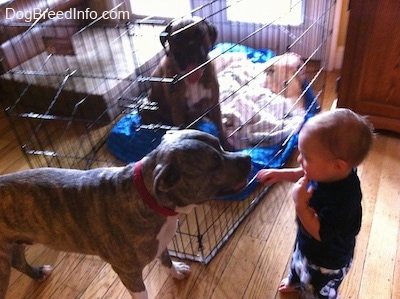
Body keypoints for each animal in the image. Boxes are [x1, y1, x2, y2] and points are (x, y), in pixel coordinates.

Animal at [0, 131, 250, 299]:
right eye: (214, 164)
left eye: (220, 145)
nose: (247, 157)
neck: (151, 198)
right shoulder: (128, 273)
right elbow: (142, 293)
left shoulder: (161, 244)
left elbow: (166, 259)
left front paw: (176, 271)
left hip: (16, 243)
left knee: (18, 261)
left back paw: (37, 273)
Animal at [144, 16, 225, 146]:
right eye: (177, 39)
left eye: (201, 35)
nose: (190, 47)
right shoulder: (177, 111)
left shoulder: (214, 104)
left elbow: (221, 130)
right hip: (147, 105)